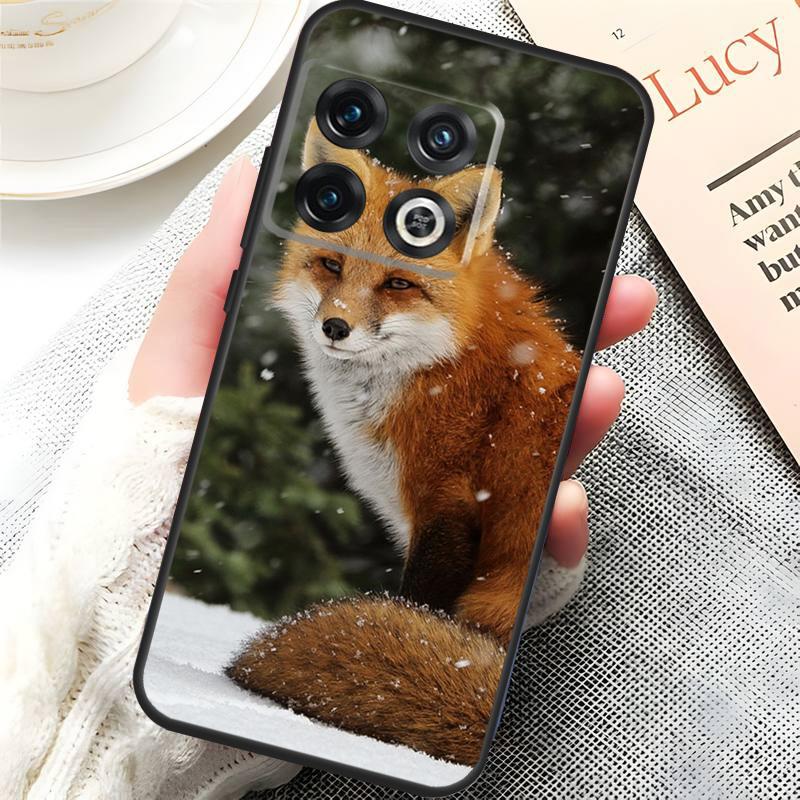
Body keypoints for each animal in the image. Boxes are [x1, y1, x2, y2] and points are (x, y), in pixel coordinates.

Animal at [226, 119, 581, 764]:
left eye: (397, 284)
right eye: (331, 266)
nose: (334, 327)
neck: (444, 367)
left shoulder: (446, 505)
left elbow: (415, 602)